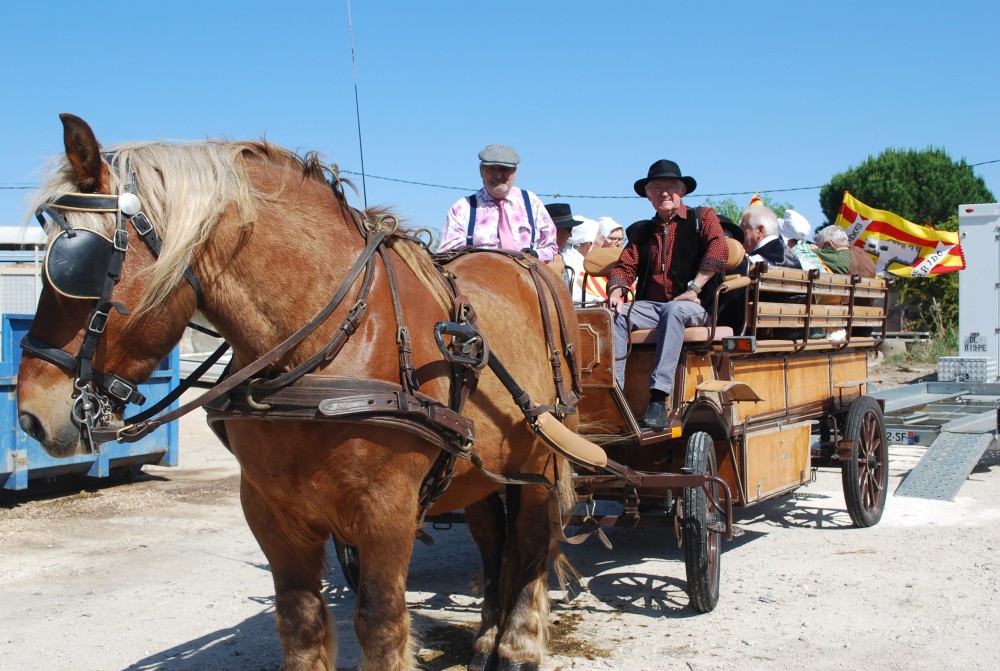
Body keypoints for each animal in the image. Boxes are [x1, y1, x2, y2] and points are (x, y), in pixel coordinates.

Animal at [19, 115, 584, 671]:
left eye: (75, 262)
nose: (29, 416)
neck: (324, 348)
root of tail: (529, 264)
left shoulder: (387, 512)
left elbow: (380, 623)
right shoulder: (270, 509)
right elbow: (299, 621)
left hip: (543, 459)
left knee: (532, 542)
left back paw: (517, 646)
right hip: (481, 472)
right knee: (494, 542)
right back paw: (487, 637)